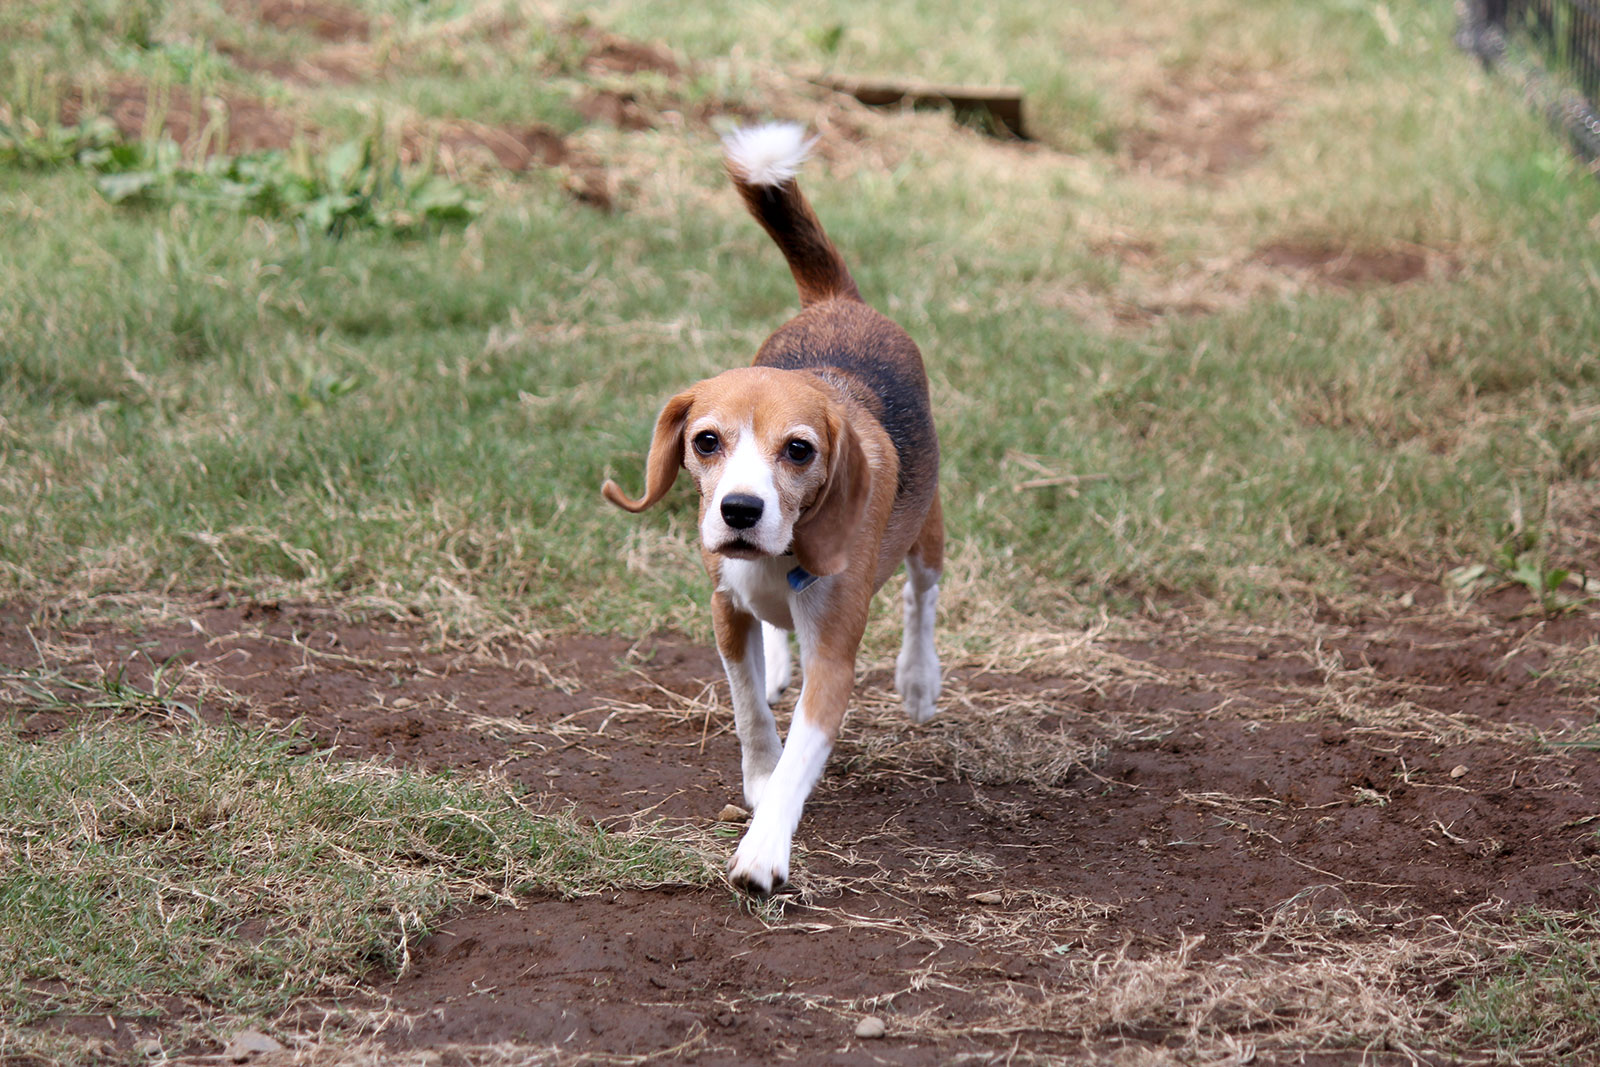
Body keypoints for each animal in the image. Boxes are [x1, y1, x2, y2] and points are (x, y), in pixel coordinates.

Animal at [604, 123, 940, 895]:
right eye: (706, 440)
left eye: (799, 450)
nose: (739, 509)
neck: (782, 553)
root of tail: (840, 302)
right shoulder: (725, 611)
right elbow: (750, 707)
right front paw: (758, 775)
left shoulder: (835, 658)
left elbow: (799, 759)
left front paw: (763, 850)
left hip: (930, 531)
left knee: (921, 597)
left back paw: (917, 679)